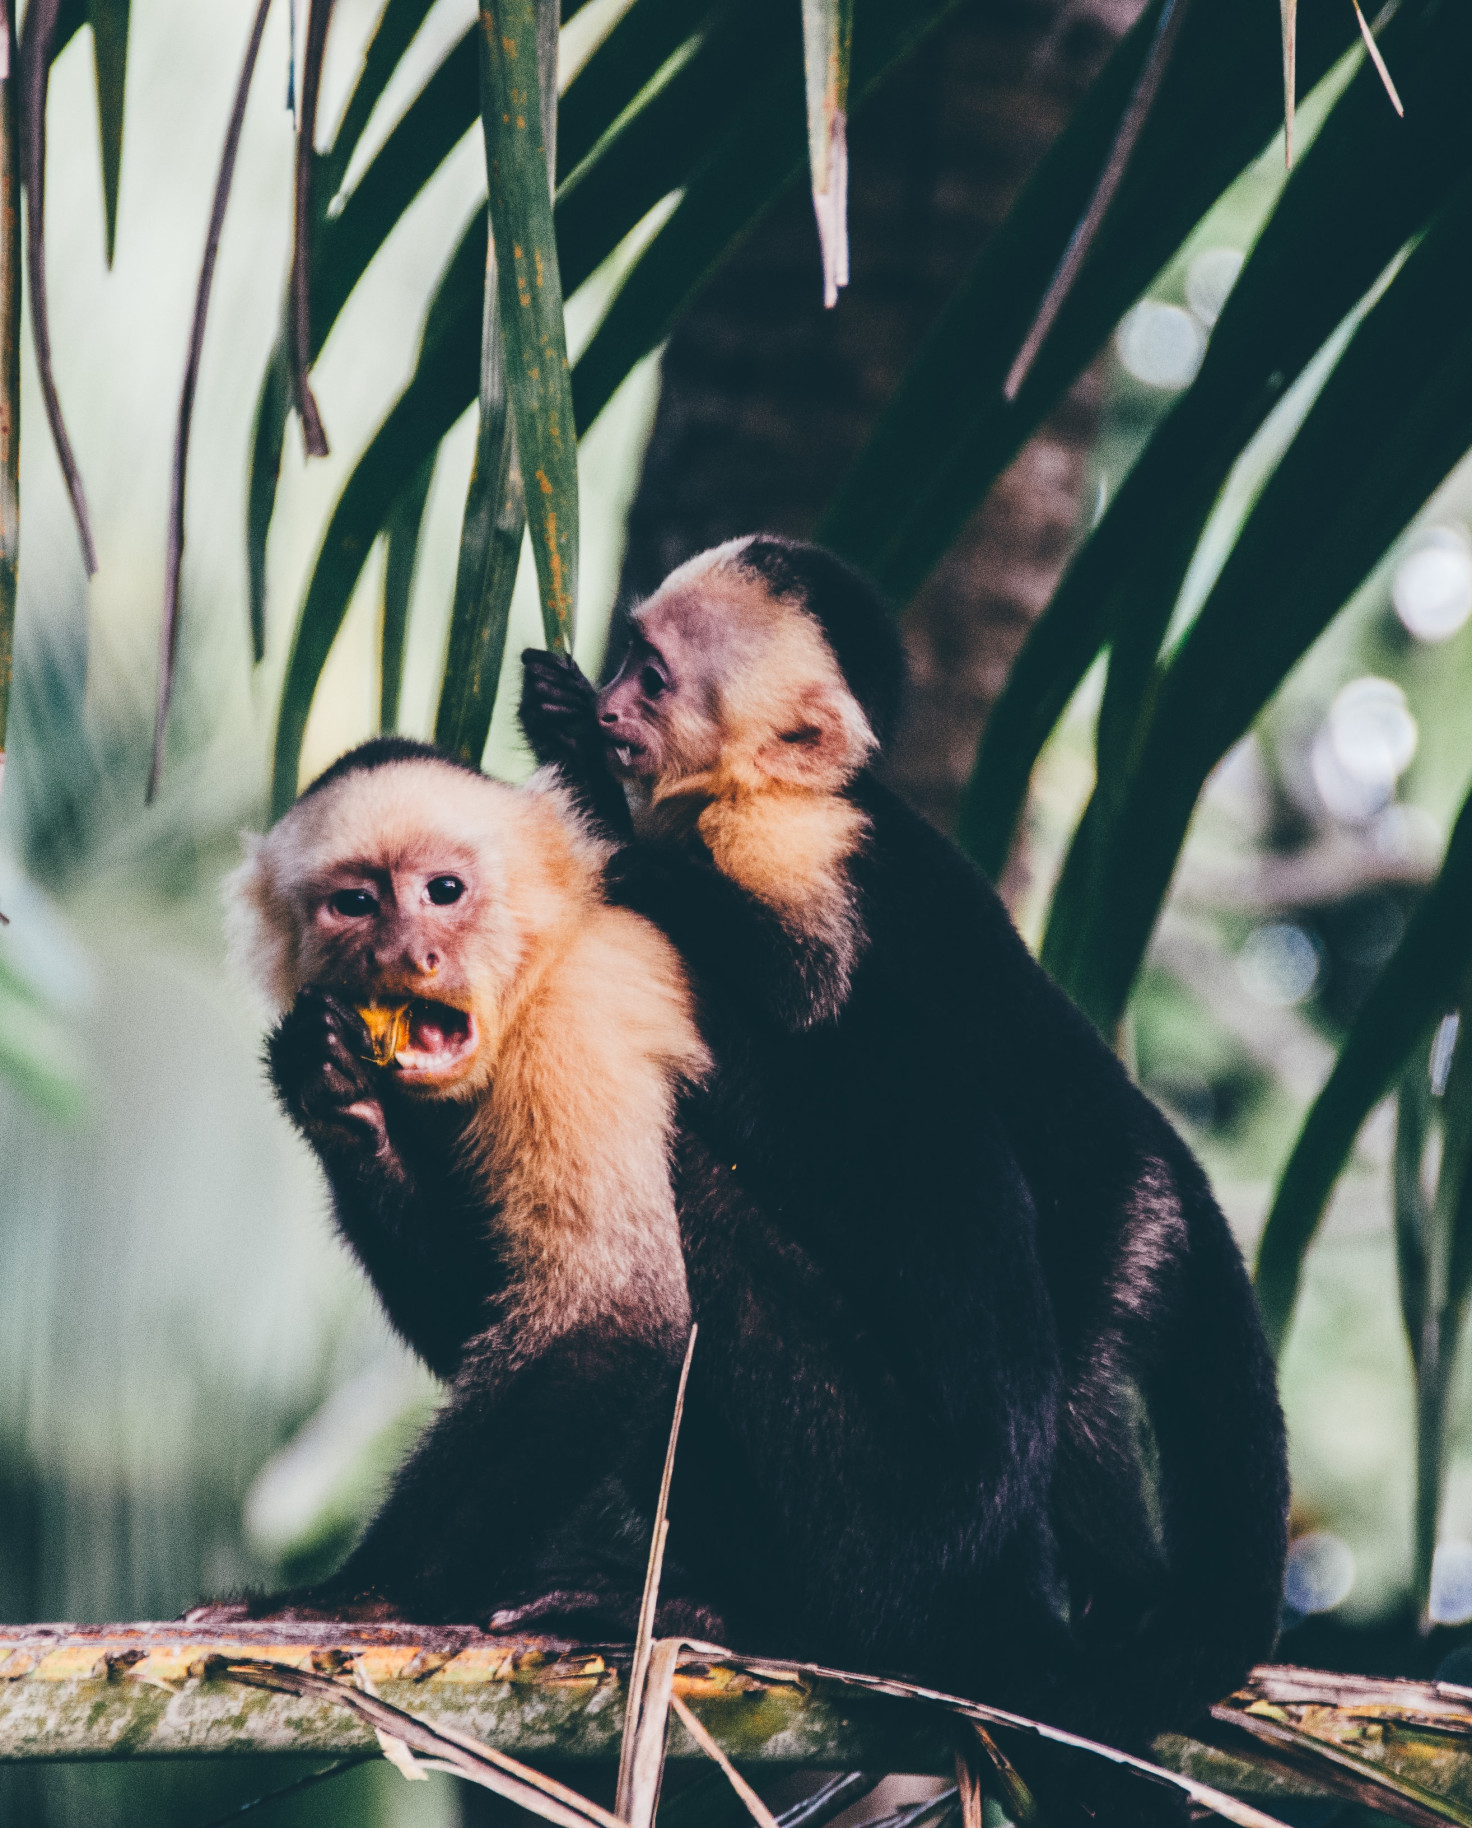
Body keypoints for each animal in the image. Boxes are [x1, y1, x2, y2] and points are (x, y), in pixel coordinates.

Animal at [198, 738, 1067, 1696]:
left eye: (444, 891)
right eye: (354, 904)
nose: (407, 955)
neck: (539, 955)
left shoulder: (580, 1010)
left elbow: (615, 1316)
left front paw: (358, 1594)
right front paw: (336, 1095)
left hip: (891, 1516)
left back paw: (771, 1622)